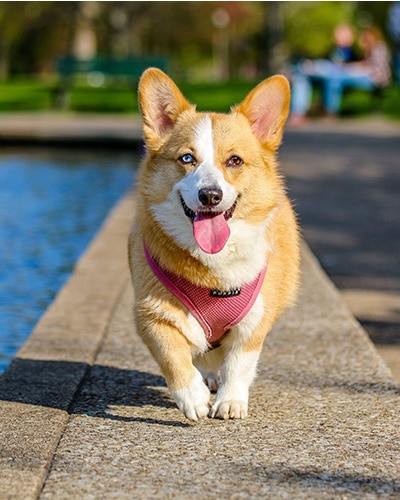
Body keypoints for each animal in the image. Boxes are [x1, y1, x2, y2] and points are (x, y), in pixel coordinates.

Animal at [129, 65, 300, 418]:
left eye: (234, 161)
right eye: (186, 158)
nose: (210, 195)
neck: (214, 266)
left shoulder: (254, 321)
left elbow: (239, 363)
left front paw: (231, 401)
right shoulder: (151, 314)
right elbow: (173, 356)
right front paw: (192, 397)